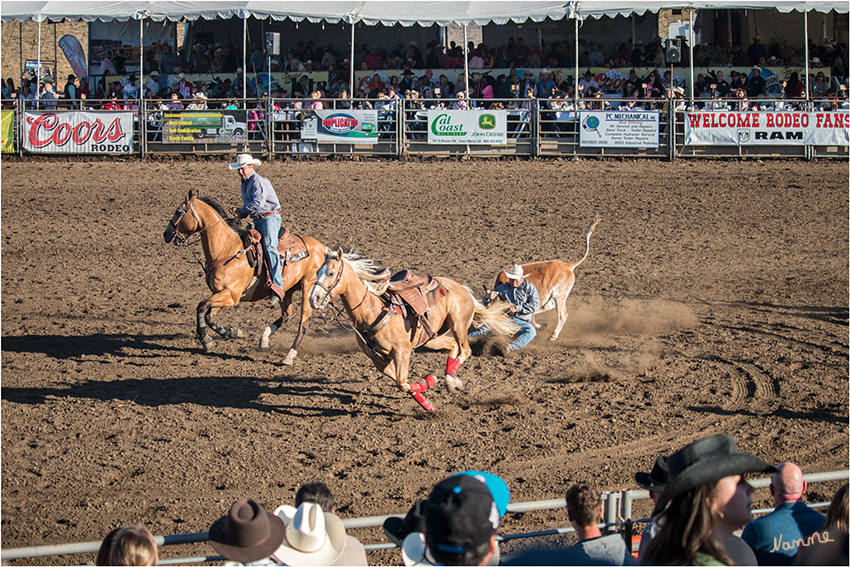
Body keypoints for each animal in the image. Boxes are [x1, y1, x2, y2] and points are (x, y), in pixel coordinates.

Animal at [164, 186, 330, 366]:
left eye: (178, 211)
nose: (166, 234)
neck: (227, 249)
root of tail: (323, 248)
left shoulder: (231, 294)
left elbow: (201, 306)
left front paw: (205, 339)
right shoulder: (222, 294)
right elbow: (208, 316)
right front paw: (231, 331)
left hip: (308, 288)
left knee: (304, 322)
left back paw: (289, 356)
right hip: (287, 290)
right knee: (288, 315)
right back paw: (264, 338)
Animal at [308, 252, 512, 412]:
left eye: (331, 273)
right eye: (317, 272)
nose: (313, 299)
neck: (371, 310)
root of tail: (463, 289)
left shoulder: (402, 351)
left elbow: (401, 381)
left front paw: (427, 383)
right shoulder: (378, 361)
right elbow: (403, 384)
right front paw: (427, 397)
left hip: (458, 325)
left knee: (465, 350)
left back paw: (450, 378)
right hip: (431, 337)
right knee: (453, 346)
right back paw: (451, 381)